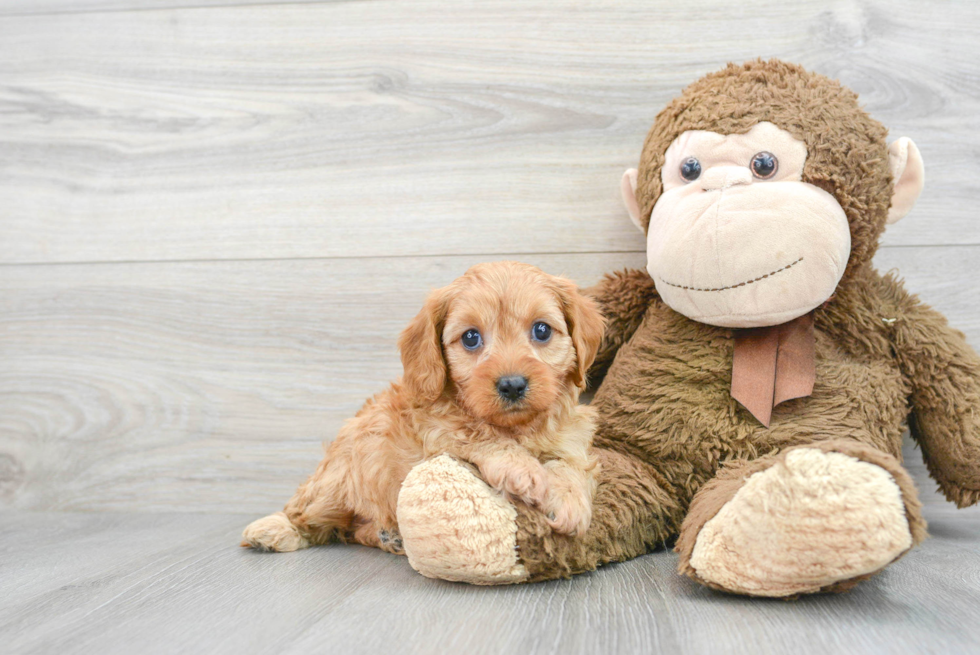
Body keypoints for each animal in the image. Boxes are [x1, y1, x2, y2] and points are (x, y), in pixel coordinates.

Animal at [241, 262, 604, 552]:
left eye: (542, 330)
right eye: (470, 338)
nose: (512, 384)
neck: (518, 428)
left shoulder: (573, 441)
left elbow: (569, 465)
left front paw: (568, 500)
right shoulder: (436, 428)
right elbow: (476, 433)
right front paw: (522, 469)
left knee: (351, 530)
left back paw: (388, 536)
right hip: (336, 482)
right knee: (308, 516)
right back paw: (272, 530)